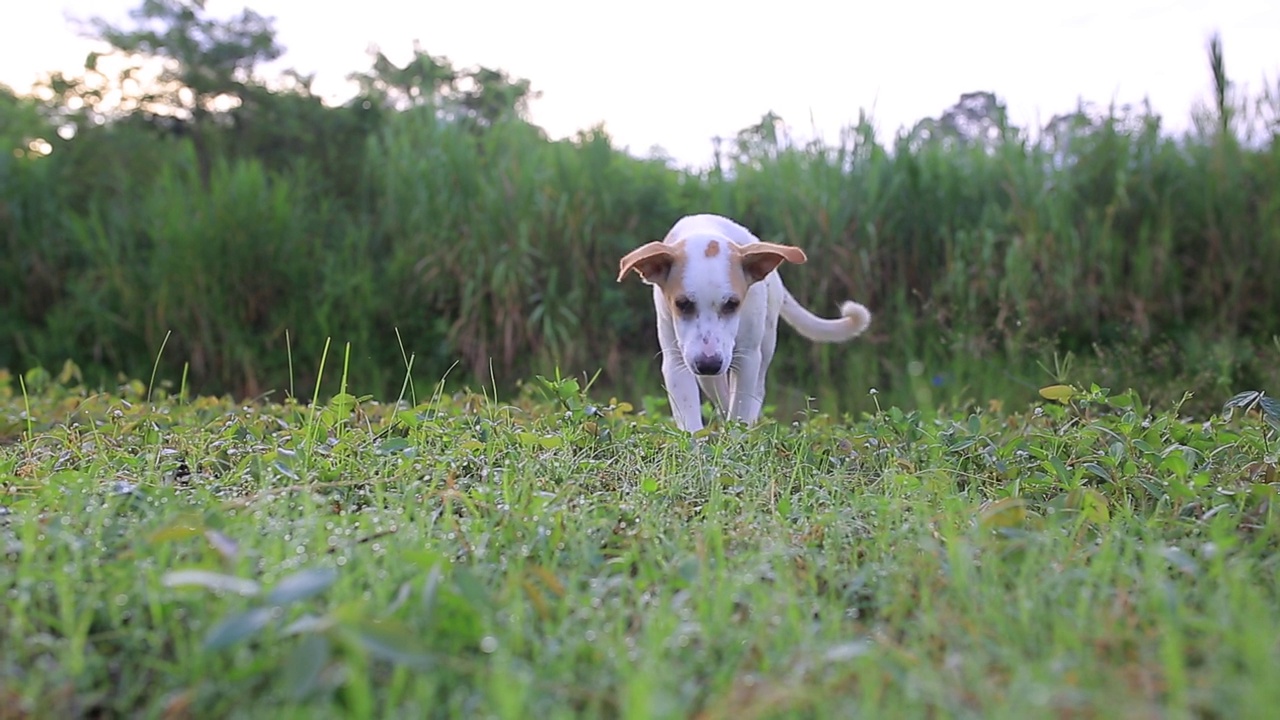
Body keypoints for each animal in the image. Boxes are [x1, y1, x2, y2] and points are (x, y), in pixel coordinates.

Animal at [616, 211, 870, 425]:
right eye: (683, 304)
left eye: (732, 304)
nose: (709, 364)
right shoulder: (677, 361)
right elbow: (690, 420)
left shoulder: (747, 357)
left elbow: (740, 411)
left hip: (763, 346)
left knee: (755, 391)